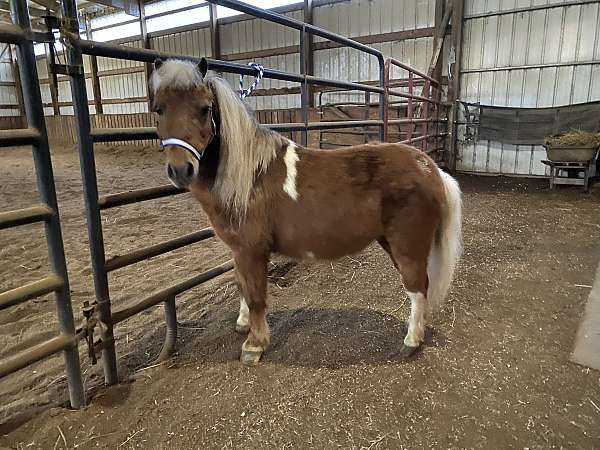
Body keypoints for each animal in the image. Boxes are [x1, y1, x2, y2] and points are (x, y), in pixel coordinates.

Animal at [150, 57, 464, 366]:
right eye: (158, 109)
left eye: (204, 109)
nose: (181, 170)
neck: (250, 176)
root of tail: (431, 169)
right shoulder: (238, 250)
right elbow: (242, 286)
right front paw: (243, 323)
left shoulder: (251, 250)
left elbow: (256, 296)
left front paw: (254, 345)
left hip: (406, 245)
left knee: (418, 287)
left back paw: (411, 341)